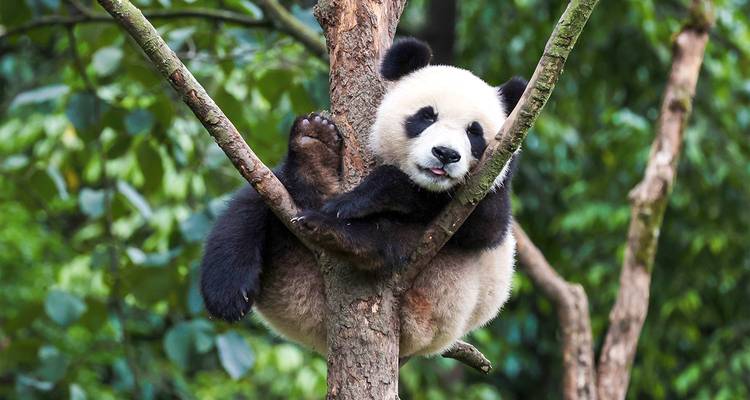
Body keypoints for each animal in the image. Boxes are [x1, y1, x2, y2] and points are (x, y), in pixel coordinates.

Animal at [200, 37, 526, 357]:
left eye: (474, 132)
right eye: (426, 116)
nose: (445, 154)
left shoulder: (492, 181)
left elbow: (484, 224)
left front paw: (359, 199)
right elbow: (247, 203)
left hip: (442, 294)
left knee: (395, 238)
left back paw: (337, 233)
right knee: (251, 205)